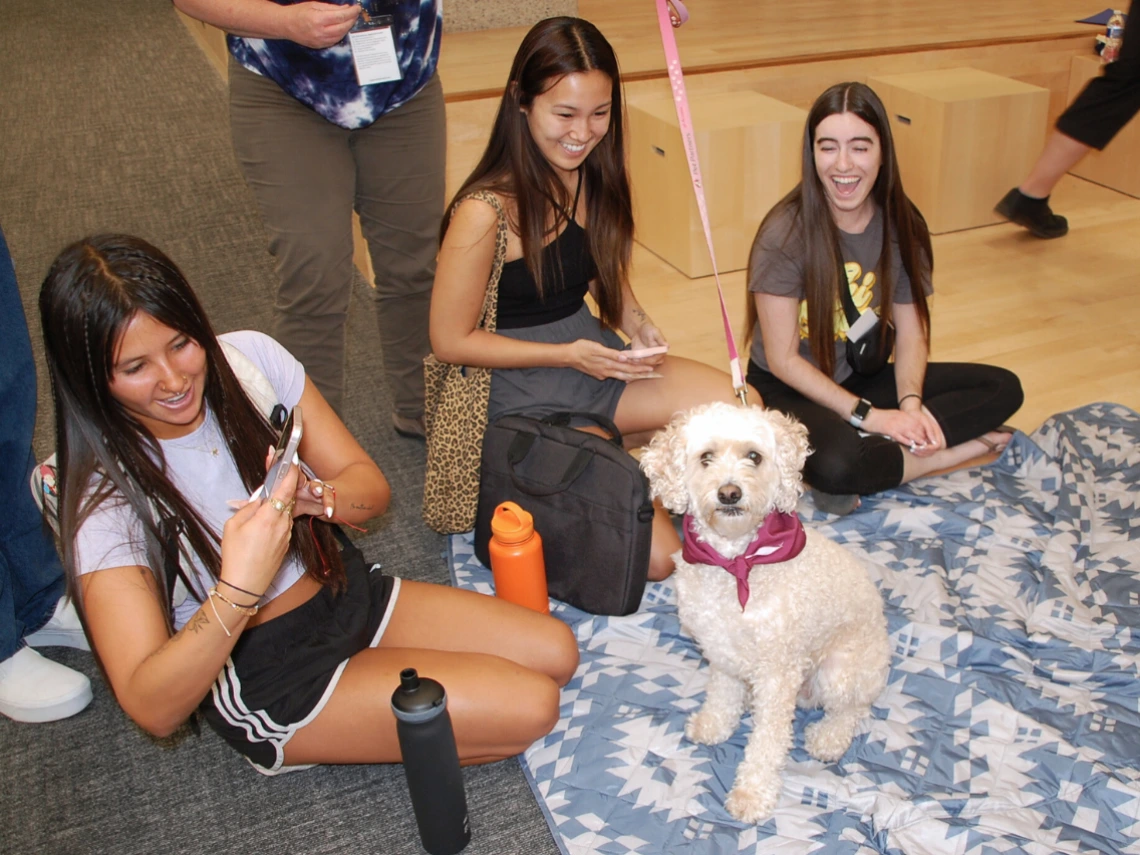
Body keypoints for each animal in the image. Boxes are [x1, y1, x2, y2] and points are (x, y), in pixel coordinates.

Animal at [642, 405, 889, 825]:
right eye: (706, 457)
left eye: (753, 457)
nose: (729, 493)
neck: (737, 561)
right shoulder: (720, 649)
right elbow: (722, 694)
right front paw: (715, 723)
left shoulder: (778, 673)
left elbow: (768, 741)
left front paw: (752, 793)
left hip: (841, 671)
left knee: (852, 709)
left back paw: (829, 737)